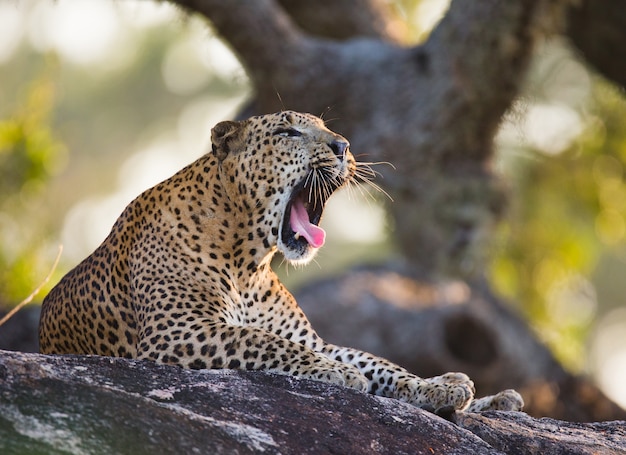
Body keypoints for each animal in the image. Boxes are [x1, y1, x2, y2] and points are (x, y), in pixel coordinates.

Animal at [39, 109, 520, 414]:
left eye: (328, 130)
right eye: (289, 133)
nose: (344, 146)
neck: (247, 262)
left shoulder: (310, 338)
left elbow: (376, 361)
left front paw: (430, 387)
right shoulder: (176, 332)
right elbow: (262, 341)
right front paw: (338, 373)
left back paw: (482, 394)